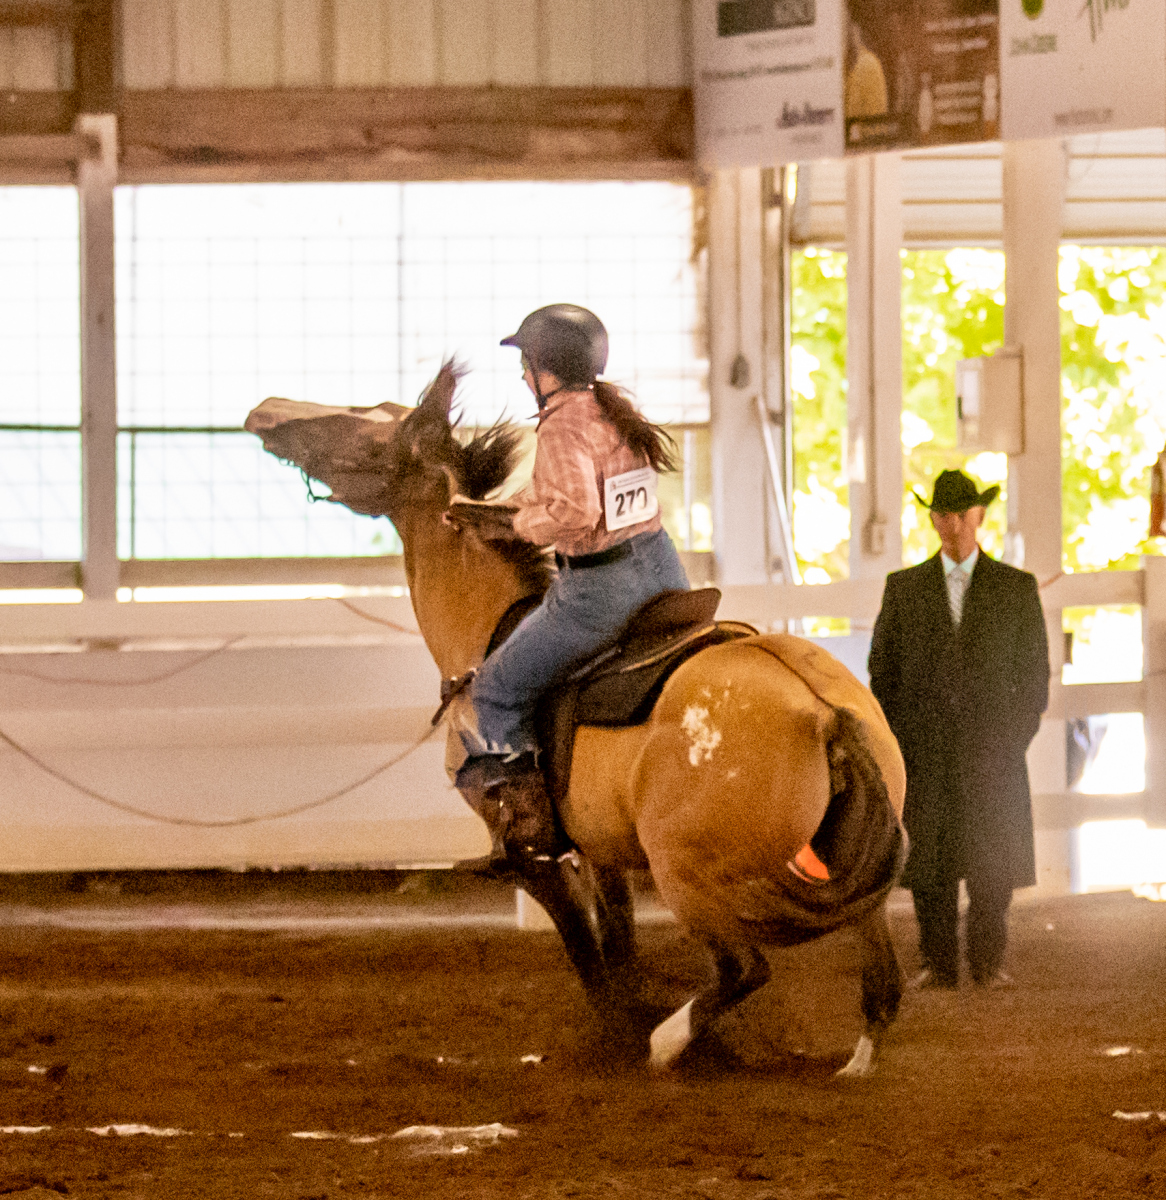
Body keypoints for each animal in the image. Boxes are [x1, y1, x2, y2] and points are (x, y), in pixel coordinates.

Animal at [246, 364, 908, 1077]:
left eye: (369, 424)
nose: (265, 411)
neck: (487, 632)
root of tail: (823, 714)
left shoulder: (533, 856)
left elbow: (588, 957)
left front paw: (621, 1033)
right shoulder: (601, 852)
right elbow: (618, 947)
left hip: (688, 876)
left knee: (744, 967)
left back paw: (664, 1044)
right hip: (840, 869)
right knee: (880, 980)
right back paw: (853, 1065)